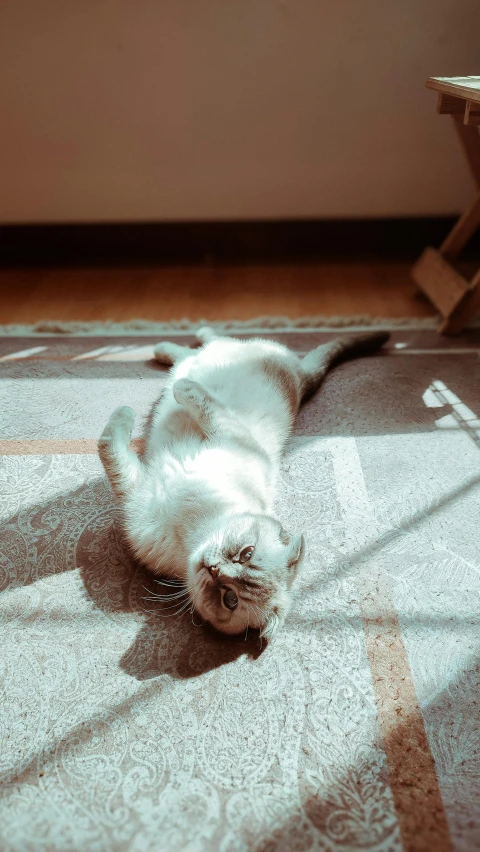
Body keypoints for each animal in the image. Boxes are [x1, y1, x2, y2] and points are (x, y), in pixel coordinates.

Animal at [99, 326, 388, 640]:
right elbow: (194, 402)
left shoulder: (135, 494)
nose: (213, 569)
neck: (190, 531)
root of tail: (300, 378)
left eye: (230, 598)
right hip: (236, 356)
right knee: (204, 346)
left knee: (198, 353)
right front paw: (163, 394)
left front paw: (128, 410)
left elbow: (109, 443)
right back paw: (170, 348)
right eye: (246, 553)